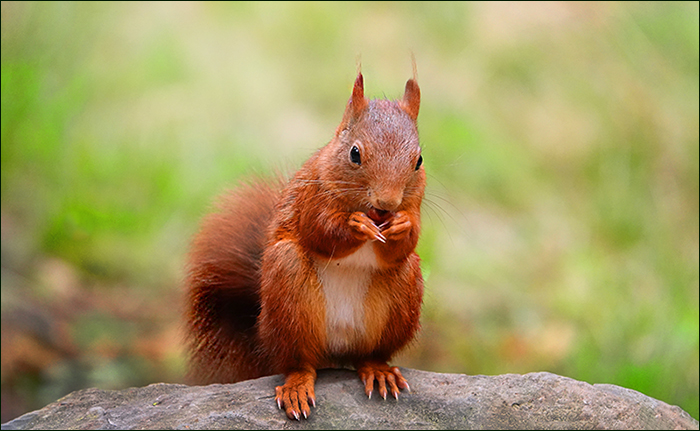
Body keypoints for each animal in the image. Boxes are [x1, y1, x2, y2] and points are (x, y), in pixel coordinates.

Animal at [185, 70, 425, 420]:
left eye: (419, 160)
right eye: (355, 153)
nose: (387, 203)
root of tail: (335, 348)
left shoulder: (415, 209)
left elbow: (407, 242)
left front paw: (402, 226)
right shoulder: (311, 198)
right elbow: (320, 231)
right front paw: (356, 226)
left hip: (400, 298)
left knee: (368, 354)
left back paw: (378, 370)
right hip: (289, 294)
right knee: (299, 362)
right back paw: (297, 386)